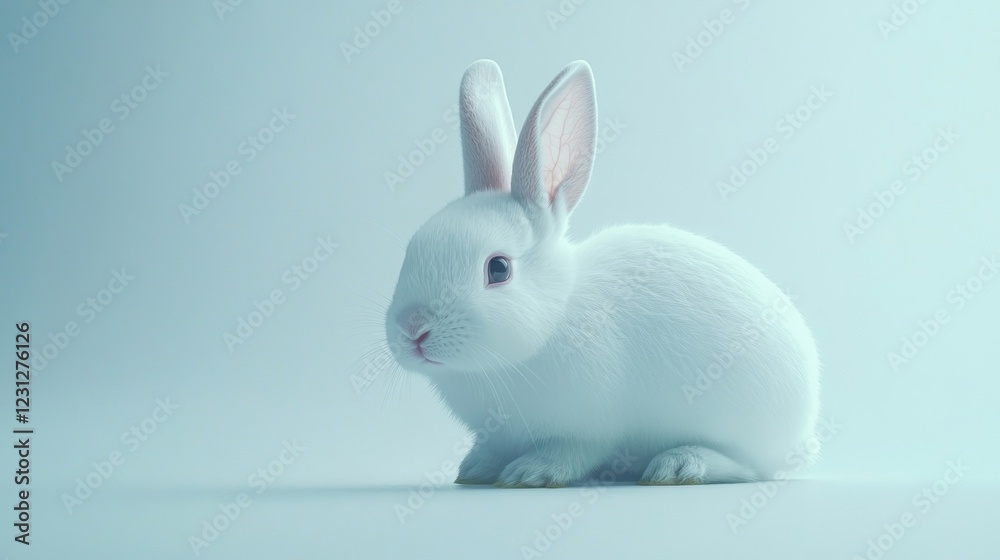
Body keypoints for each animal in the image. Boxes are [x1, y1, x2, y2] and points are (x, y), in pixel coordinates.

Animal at [384, 59, 821, 487]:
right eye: (410, 251)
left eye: (499, 268)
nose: (414, 329)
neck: (555, 317)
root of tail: (802, 434)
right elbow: (491, 450)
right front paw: (474, 469)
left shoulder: (588, 428)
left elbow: (572, 452)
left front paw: (530, 472)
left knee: (750, 467)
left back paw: (678, 465)